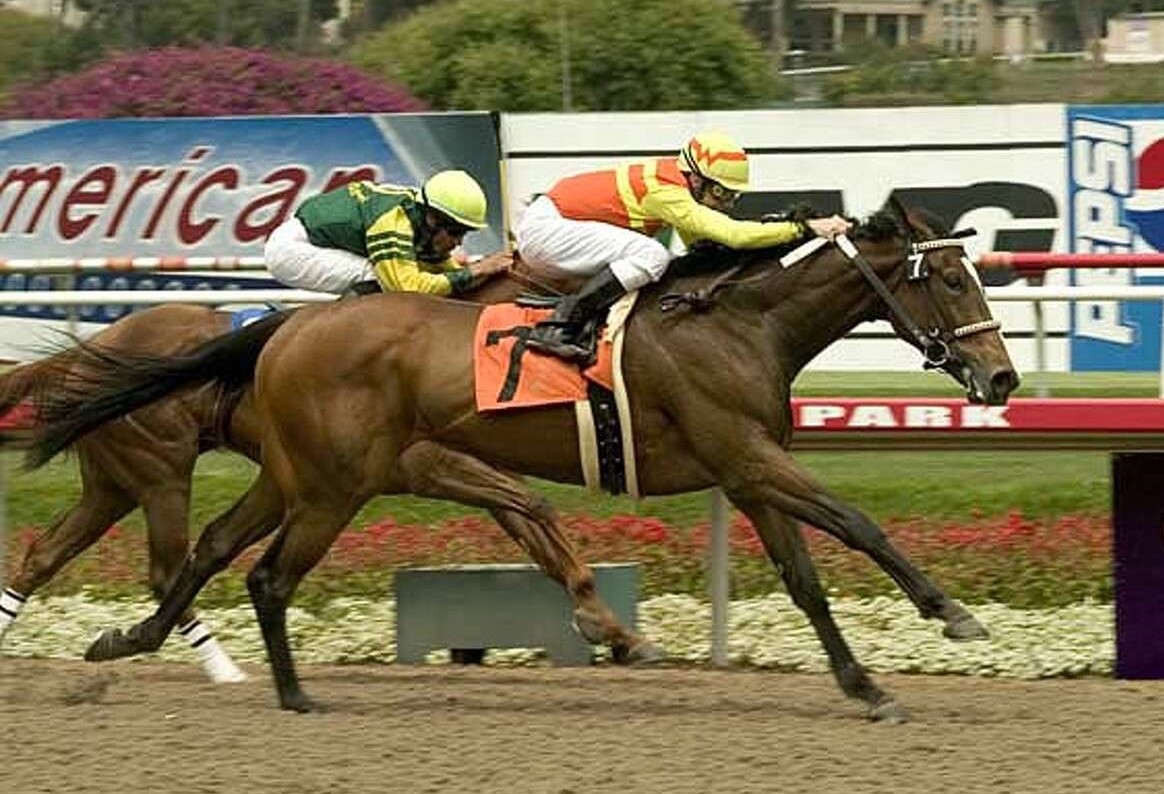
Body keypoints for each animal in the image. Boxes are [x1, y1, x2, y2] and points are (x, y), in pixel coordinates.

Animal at [0, 263, 568, 675]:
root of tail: (87, 352)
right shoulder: (431, 465)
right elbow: (530, 510)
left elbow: (533, 530)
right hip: (161, 469)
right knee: (163, 569)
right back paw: (222, 668)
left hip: (113, 483)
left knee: (46, 552)